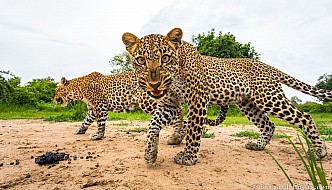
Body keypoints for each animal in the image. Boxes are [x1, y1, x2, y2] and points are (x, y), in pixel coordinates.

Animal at [55, 71, 226, 142]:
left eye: (58, 90)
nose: (55, 98)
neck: (79, 89)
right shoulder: (92, 109)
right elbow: (85, 121)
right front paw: (79, 131)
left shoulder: (100, 106)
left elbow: (100, 123)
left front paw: (98, 136)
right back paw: (179, 136)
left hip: (148, 102)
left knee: (179, 110)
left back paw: (177, 135)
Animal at [122, 27, 332, 166]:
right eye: (141, 60)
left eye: (165, 58)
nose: (154, 84)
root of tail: (269, 67)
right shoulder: (169, 103)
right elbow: (152, 126)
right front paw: (150, 154)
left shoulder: (198, 98)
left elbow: (193, 131)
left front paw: (188, 157)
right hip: (248, 104)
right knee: (268, 125)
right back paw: (258, 145)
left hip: (269, 98)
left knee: (305, 117)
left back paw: (319, 151)